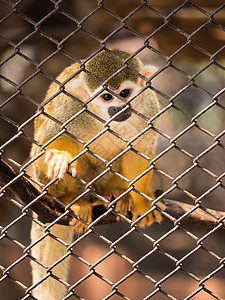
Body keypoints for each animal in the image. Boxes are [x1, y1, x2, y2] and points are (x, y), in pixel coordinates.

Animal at [29, 49, 163, 300]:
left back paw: (117, 194)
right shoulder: (72, 106)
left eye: (125, 93)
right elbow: (49, 138)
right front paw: (60, 156)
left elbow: (139, 150)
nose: (118, 108)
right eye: (107, 97)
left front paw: (141, 201)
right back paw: (72, 200)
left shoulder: (149, 106)